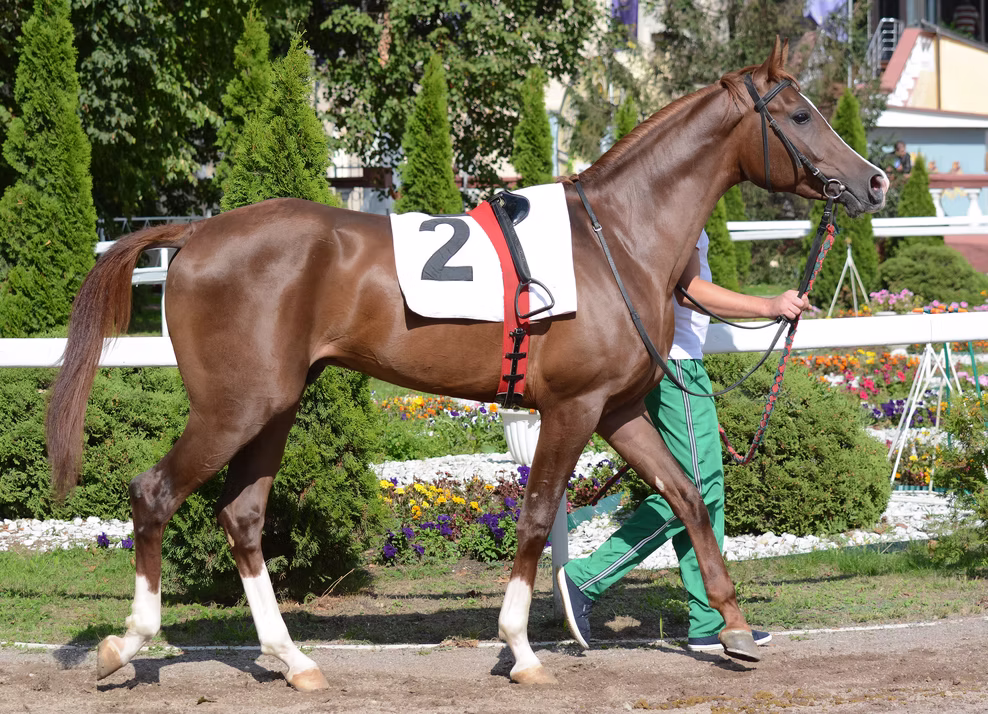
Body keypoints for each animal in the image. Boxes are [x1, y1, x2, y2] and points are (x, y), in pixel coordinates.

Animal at [45, 39, 886, 689]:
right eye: (800, 114)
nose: (874, 180)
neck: (615, 239)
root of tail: (196, 234)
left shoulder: (616, 409)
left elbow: (685, 496)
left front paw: (736, 627)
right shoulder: (572, 408)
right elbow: (540, 514)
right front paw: (520, 650)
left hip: (275, 408)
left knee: (242, 516)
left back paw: (294, 660)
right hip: (234, 407)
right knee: (154, 494)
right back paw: (126, 647)